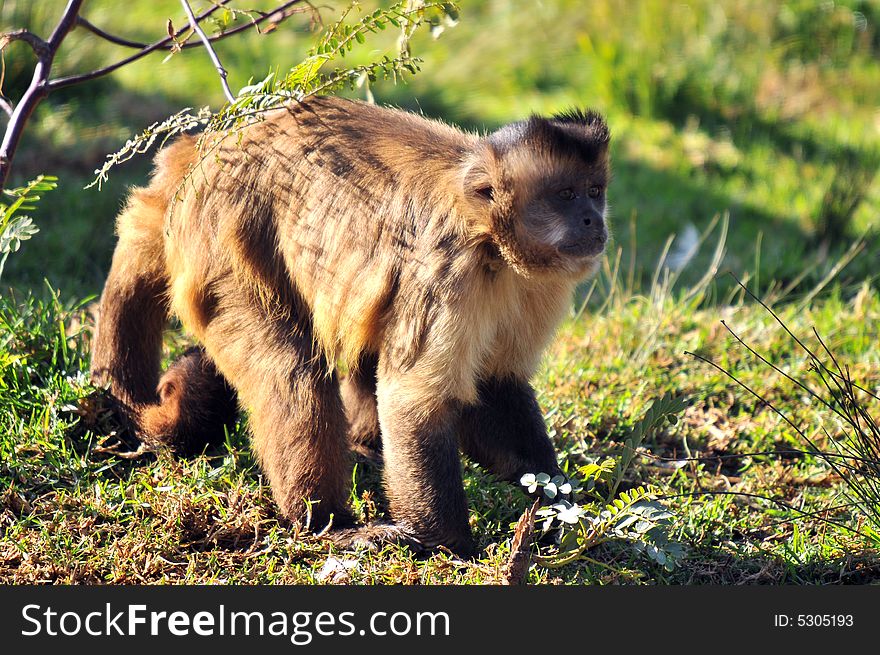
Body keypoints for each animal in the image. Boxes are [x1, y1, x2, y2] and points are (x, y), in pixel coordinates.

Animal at [91, 96, 612, 560]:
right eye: (565, 196)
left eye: (594, 191)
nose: (594, 219)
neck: (489, 239)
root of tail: (210, 149)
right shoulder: (449, 272)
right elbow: (415, 402)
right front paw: (451, 547)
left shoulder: (537, 285)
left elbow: (494, 387)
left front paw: (557, 515)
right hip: (219, 242)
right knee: (293, 371)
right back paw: (326, 523)